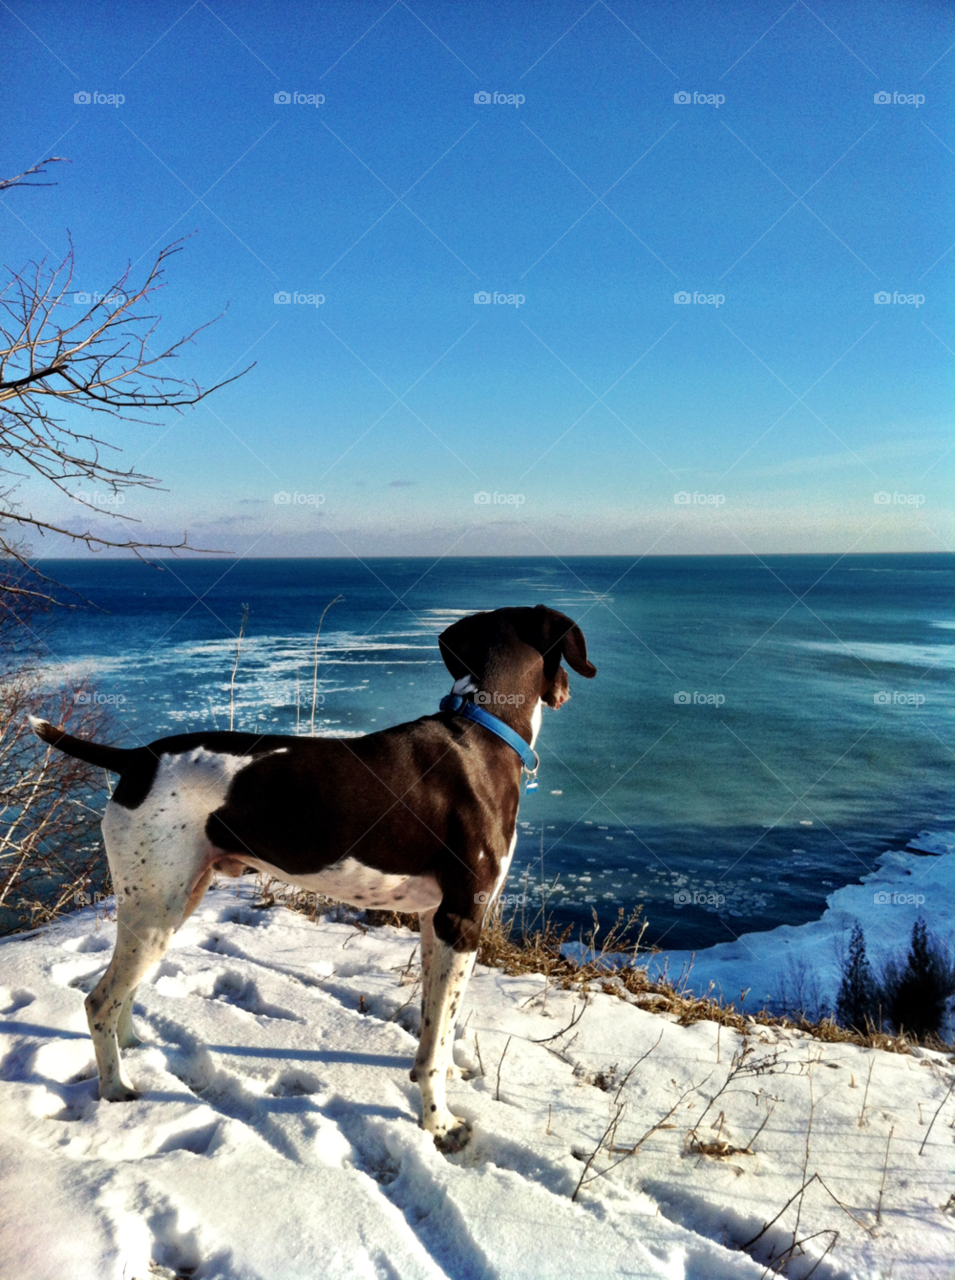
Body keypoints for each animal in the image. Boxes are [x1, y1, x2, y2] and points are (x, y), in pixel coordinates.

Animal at [29, 599, 591, 1152]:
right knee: (99, 1000)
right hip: (155, 909)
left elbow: (439, 1024)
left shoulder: (435, 921)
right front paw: (439, 1125)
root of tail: (135, 760)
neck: (483, 731)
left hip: (173, 900)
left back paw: (133, 1047)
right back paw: (116, 1088)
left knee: (124, 992)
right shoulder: (461, 919)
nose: (568, 688)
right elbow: (433, 1045)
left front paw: (446, 1076)